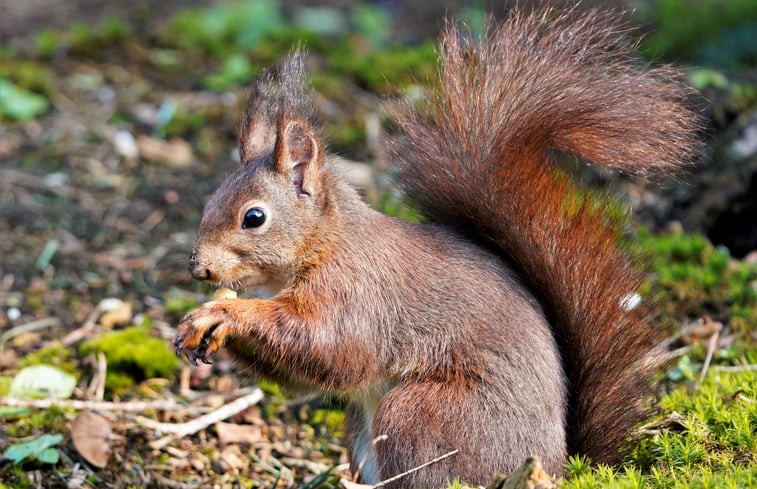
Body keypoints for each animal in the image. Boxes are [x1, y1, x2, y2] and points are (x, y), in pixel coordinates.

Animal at [174, 7, 700, 488]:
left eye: (253, 217)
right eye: (211, 200)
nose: (198, 268)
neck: (325, 243)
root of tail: (559, 465)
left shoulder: (359, 293)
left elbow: (331, 347)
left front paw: (225, 314)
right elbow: (305, 373)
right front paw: (197, 327)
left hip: (424, 414)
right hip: (363, 427)